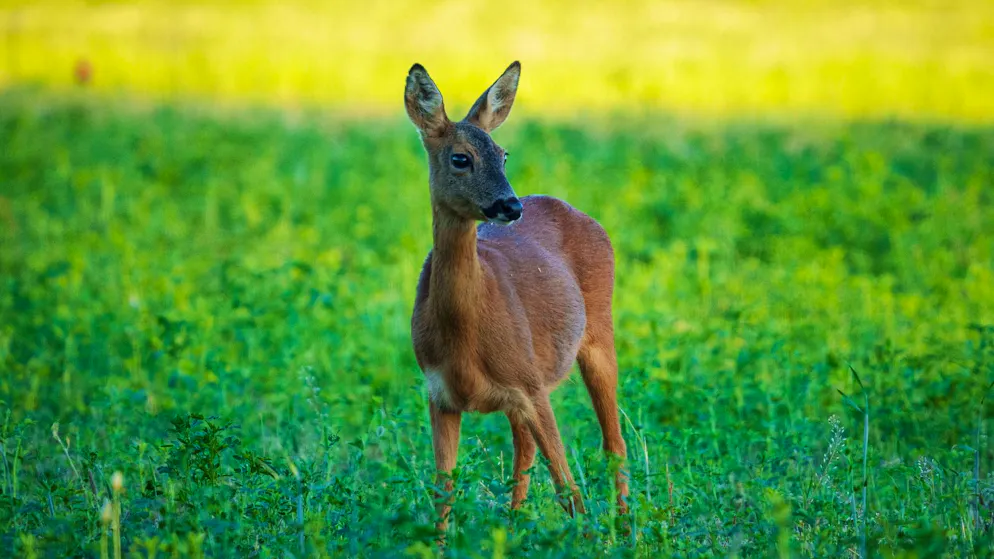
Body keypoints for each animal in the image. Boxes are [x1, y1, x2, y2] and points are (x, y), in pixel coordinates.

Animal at [404, 61, 628, 537]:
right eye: (461, 157)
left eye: (503, 155)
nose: (510, 205)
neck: (464, 332)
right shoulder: (439, 393)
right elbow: (443, 490)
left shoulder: (530, 384)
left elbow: (568, 489)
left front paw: (591, 540)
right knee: (523, 453)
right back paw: (513, 525)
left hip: (598, 332)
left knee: (612, 442)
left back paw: (625, 527)